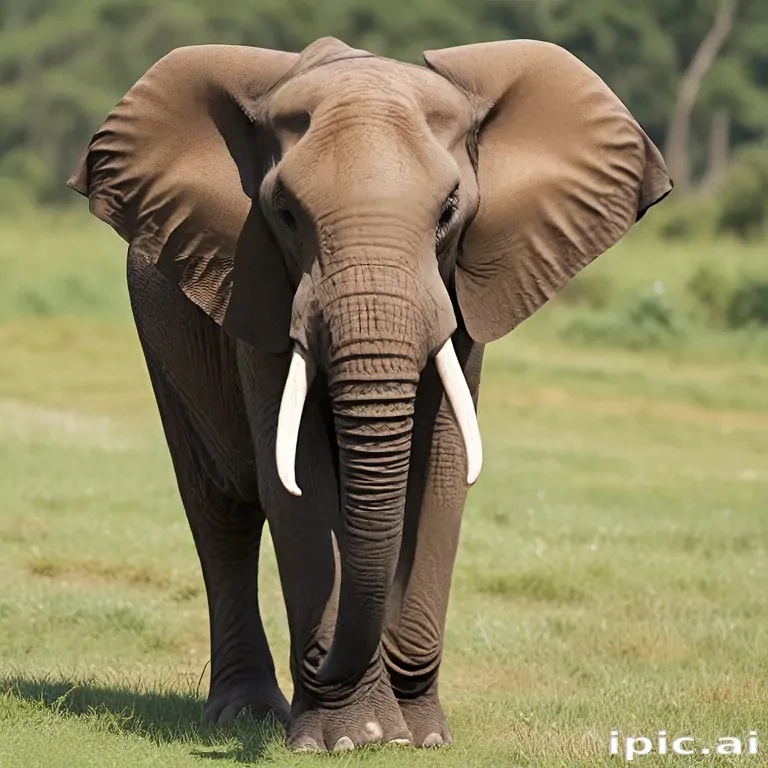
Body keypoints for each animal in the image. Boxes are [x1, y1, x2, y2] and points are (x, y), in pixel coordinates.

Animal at [69, 37, 671, 751]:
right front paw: (353, 738)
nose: (320, 665)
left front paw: (422, 736)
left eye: (448, 213)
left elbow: (442, 468)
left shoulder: (460, 302)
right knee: (221, 513)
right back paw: (247, 714)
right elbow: (296, 475)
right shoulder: (256, 288)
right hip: (163, 339)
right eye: (284, 214)